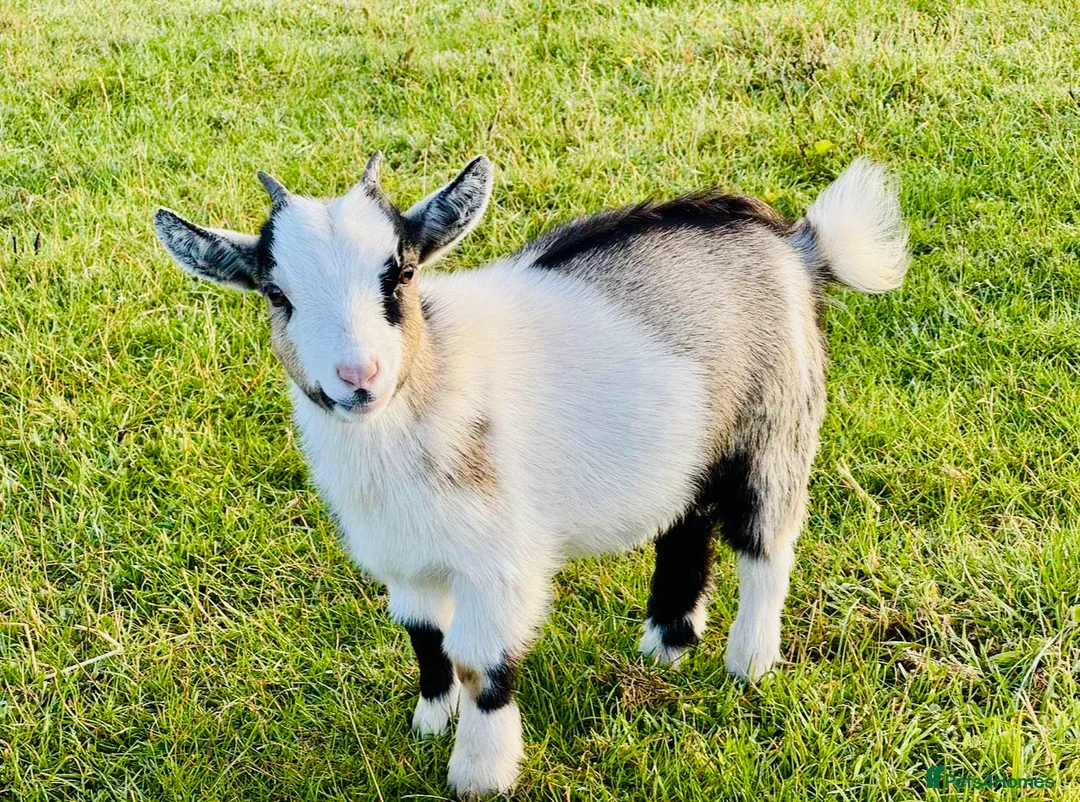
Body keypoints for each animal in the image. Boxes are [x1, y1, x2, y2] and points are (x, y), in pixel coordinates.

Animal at [154, 154, 908, 796]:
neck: (430, 390)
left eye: (400, 273)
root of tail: (795, 245)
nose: (358, 376)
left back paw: (747, 665)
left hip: (775, 424)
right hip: (691, 447)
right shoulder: (402, 557)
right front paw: (428, 726)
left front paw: (480, 775)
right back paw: (667, 643)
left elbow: (481, 662)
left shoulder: (500, 561)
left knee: (764, 544)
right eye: (276, 292)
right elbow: (426, 639)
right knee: (687, 525)